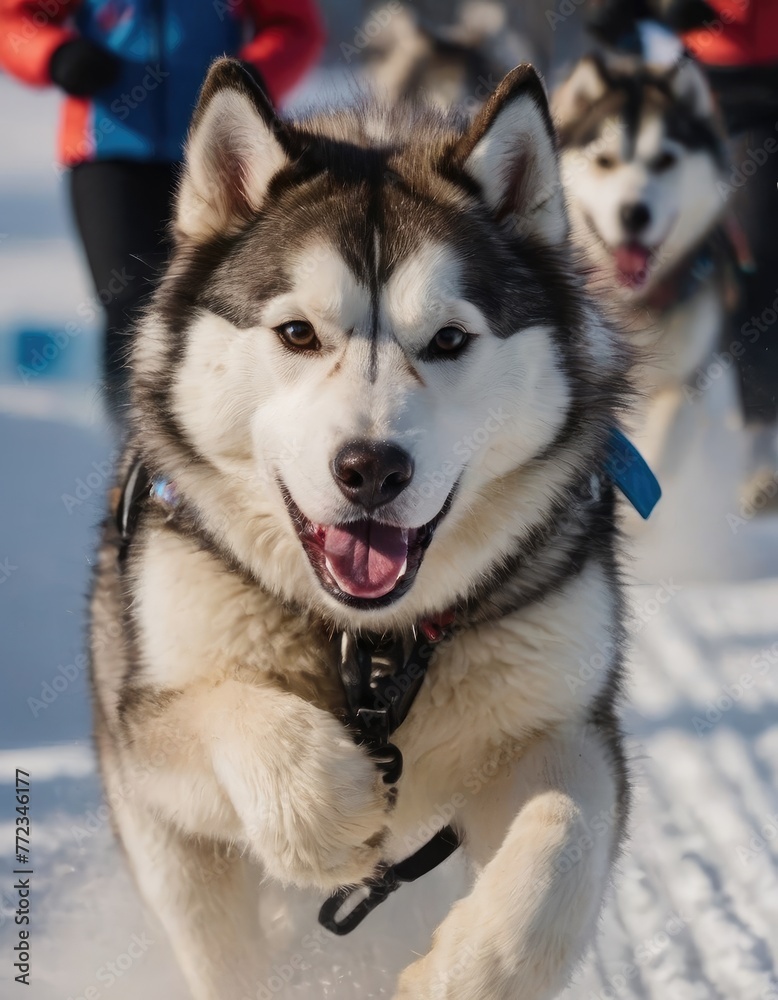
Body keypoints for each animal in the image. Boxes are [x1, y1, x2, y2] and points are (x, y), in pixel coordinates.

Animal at [92, 58, 636, 996]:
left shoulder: (566, 723)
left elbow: (562, 839)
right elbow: (225, 711)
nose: (372, 469)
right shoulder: (146, 734)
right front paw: (319, 805)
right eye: (297, 333)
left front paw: (472, 969)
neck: (374, 643)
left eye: (450, 339)